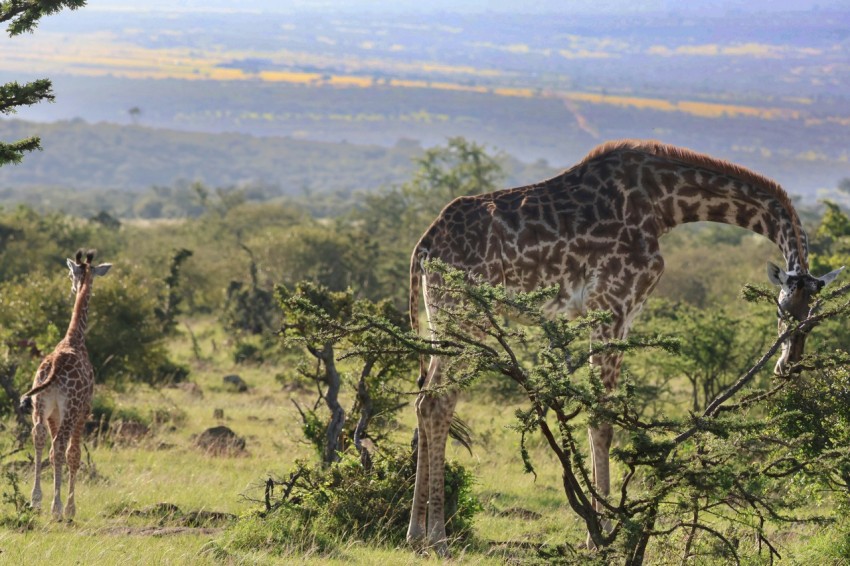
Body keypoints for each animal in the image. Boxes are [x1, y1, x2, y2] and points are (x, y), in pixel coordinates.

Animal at [20, 249, 111, 521]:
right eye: (71, 274)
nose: (73, 287)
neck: (74, 338)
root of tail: (53, 367)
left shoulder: (53, 413)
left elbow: (52, 453)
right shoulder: (84, 410)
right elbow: (74, 454)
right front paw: (71, 508)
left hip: (40, 405)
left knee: (39, 437)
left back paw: (36, 501)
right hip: (70, 408)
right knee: (62, 446)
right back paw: (58, 508)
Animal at [406, 139, 843, 554]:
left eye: (813, 316)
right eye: (781, 309)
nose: (788, 365)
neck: (665, 204)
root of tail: (424, 245)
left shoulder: (626, 312)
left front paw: (601, 528)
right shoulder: (611, 304)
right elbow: (601, 420)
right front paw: (600, 535)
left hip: (440, 318)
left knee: (424, 400)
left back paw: (415, 535)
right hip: (465, 315)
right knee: (438, 402)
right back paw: (439, 538)